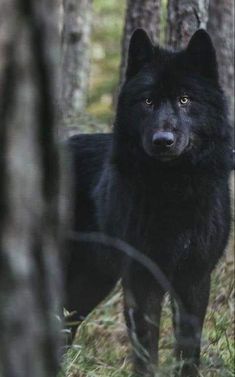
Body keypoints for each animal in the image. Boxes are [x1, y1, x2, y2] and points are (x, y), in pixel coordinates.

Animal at [65, 29, 232, 376]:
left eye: (185, 99)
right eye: (148, 101)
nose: (163, 141)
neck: (175, 191)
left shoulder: (195, 278)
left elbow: (188, 349)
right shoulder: (142, 279)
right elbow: (146, 351)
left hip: (92, 283)